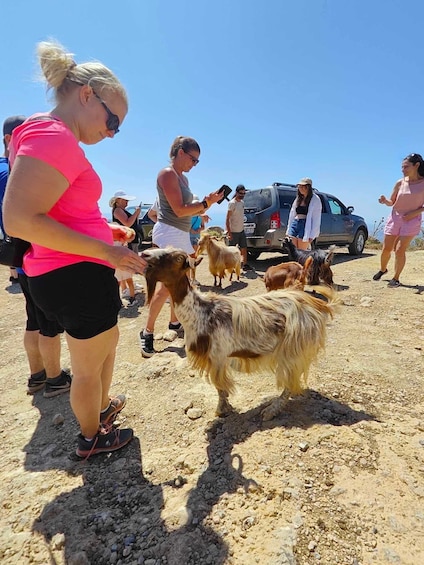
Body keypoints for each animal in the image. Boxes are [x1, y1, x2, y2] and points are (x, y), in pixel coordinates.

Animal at [142, 247, 338, 418]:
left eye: (178, 258)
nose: (145, 254)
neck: (200, 312)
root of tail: (319, 305)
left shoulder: (217, 356)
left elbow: (220, 386)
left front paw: (222, 410)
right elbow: (220, 386)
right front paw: (225, 407)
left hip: (293, 348)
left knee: (289, 381)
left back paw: (271, 411)